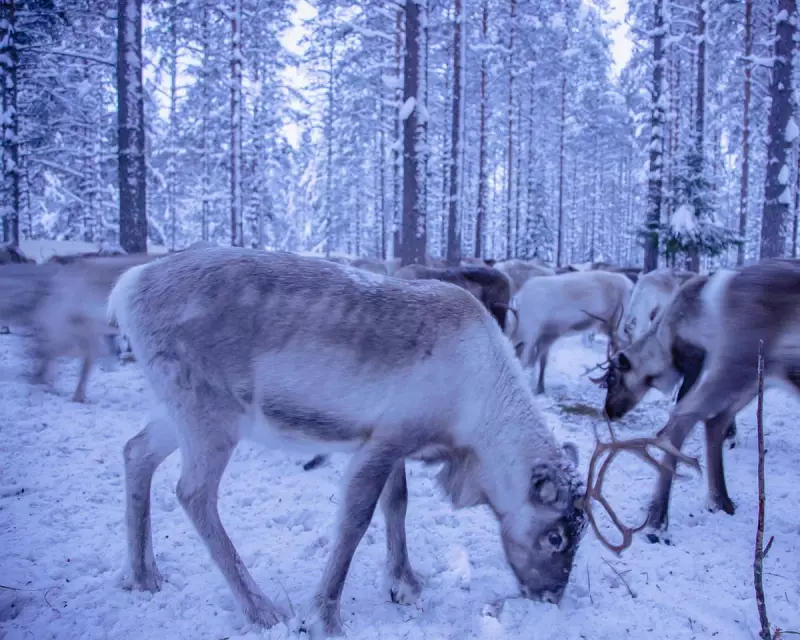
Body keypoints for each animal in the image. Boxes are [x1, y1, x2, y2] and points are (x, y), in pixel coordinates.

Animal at [107, 246, 589, 637]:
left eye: (581, 531)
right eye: (555, 538)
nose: (551, 595)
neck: (474, 424)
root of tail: (128, 285)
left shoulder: (393, 444)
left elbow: (398, 504)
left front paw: (404, 584)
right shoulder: (382, 444)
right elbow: (355, 522)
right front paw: (325, 617)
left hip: (176, 412)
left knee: (136, 451)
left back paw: (143, 575)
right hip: (210, 415)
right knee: (193, 492)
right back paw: (261, 609)